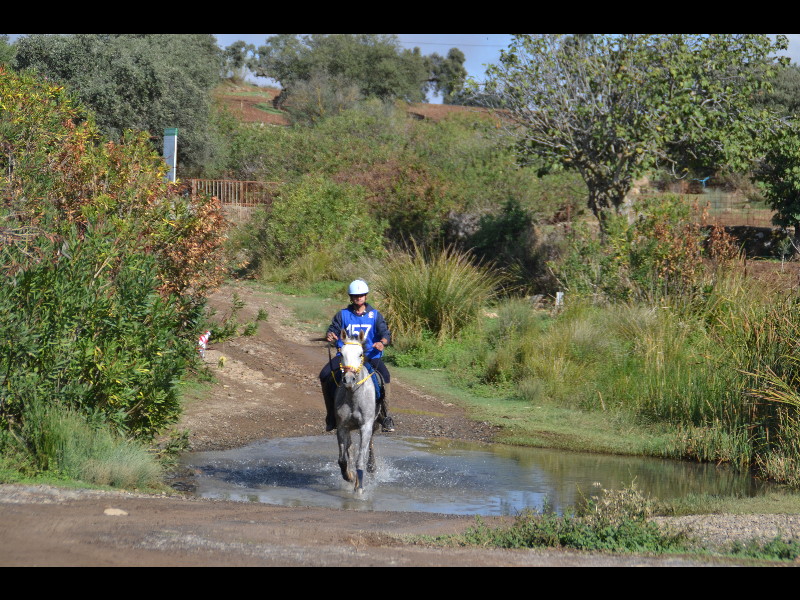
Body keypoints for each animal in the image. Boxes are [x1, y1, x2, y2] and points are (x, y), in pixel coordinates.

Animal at [332, 328, 380, 492]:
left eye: (360, 354)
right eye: (341, 353)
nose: (348, 380)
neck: (354, 396)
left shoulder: (365, 426)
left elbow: (360, 460)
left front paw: (359, 487)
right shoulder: (342, 427)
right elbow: (342, 459)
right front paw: (350, 476)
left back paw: (372, 467)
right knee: (350, 449)